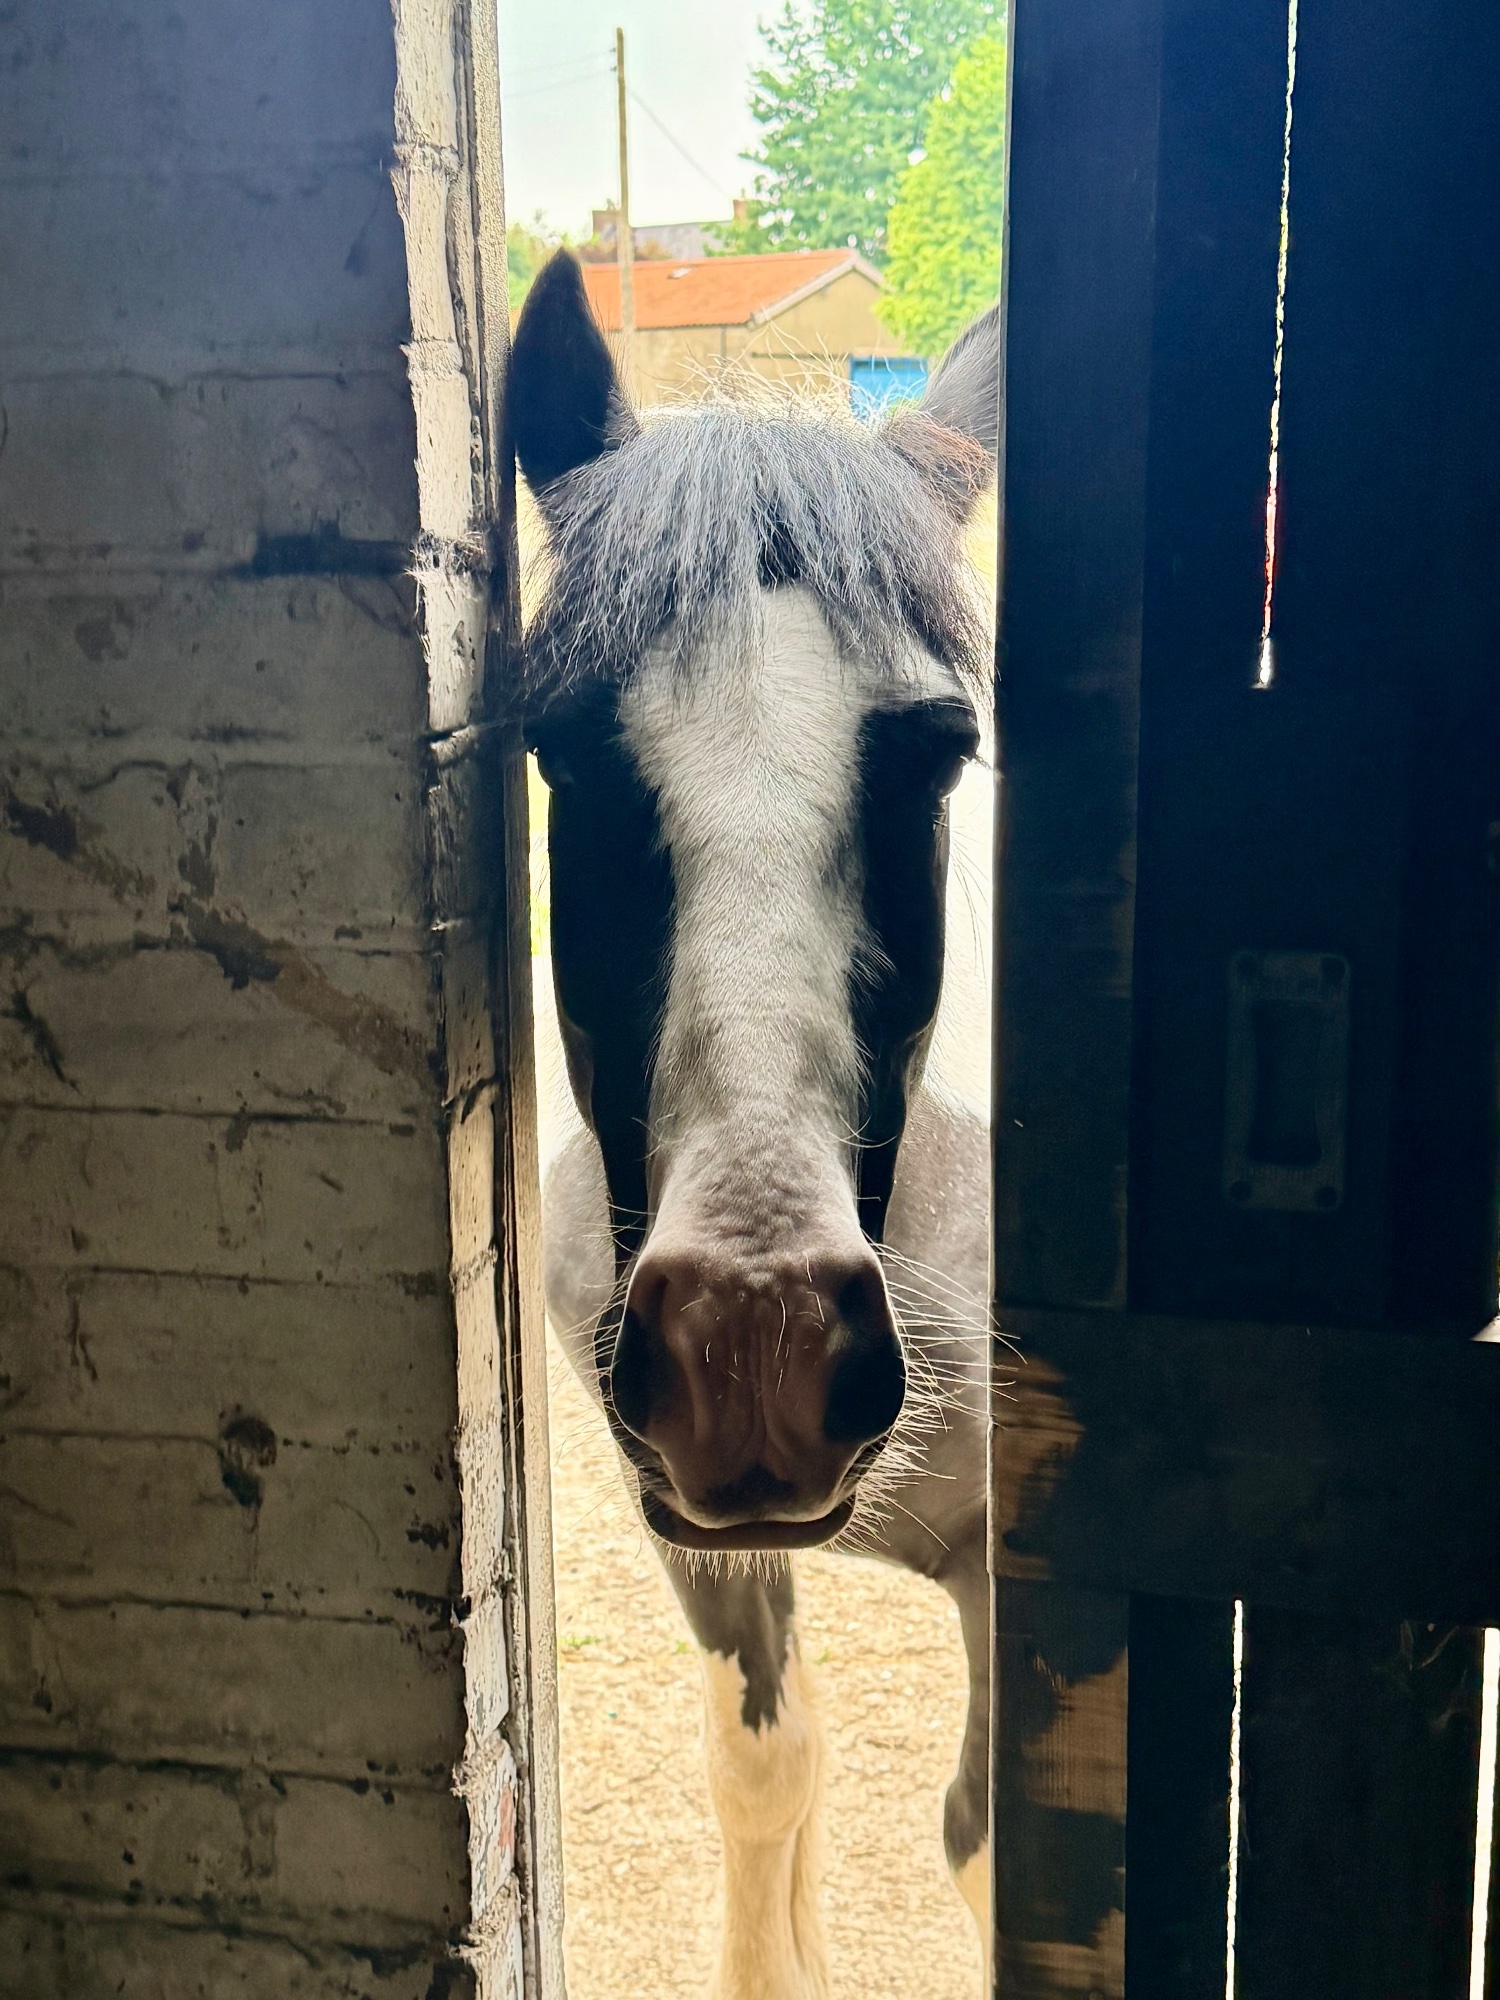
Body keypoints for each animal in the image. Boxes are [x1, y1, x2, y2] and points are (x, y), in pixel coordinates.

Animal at [506, 250, 997, 2000]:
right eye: (564, 748)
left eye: (941, 752)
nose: (757, 1341)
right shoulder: (698, 1519)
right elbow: (770, 1766)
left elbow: (988, 1846)